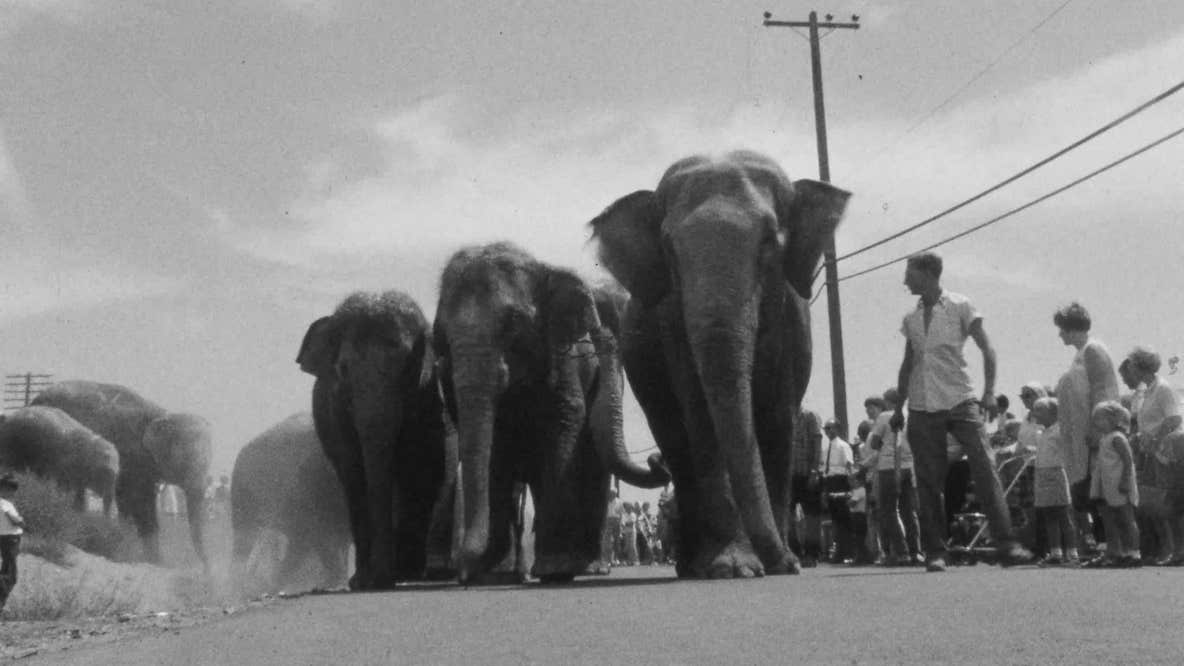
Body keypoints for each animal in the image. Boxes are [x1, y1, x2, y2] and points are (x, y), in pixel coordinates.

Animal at [31, 381, 212, 567]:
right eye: (184, 460)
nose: (207, 570)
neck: (162, 414)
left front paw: (154, 560)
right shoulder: (130, 456)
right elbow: (138, 500)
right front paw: (151, 560)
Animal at [297, 290, 457, 590]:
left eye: (406, 369)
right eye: (343, 369)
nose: (382, 581)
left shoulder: (432, 397)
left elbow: (428, 468)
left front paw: (406, 572)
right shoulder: (336, 410)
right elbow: (354, 473)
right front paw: (362, 581)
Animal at [433, 241, 670, 584]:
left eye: (514, 322)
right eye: (441, 332)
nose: (462, 574)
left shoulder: (562, 358)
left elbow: (564, 422)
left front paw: (555, 569)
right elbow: (495, 449)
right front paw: (490, 574)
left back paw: (588, 567)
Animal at [589, 150, 850, 578]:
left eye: (769, 240)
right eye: (669, 249)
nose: (781, 558)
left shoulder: (793, 326)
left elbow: (778, 417)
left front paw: (782, 565)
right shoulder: (672, 322)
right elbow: (702, 415)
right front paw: (735, 567)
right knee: (676, 441)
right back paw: (693, 566)